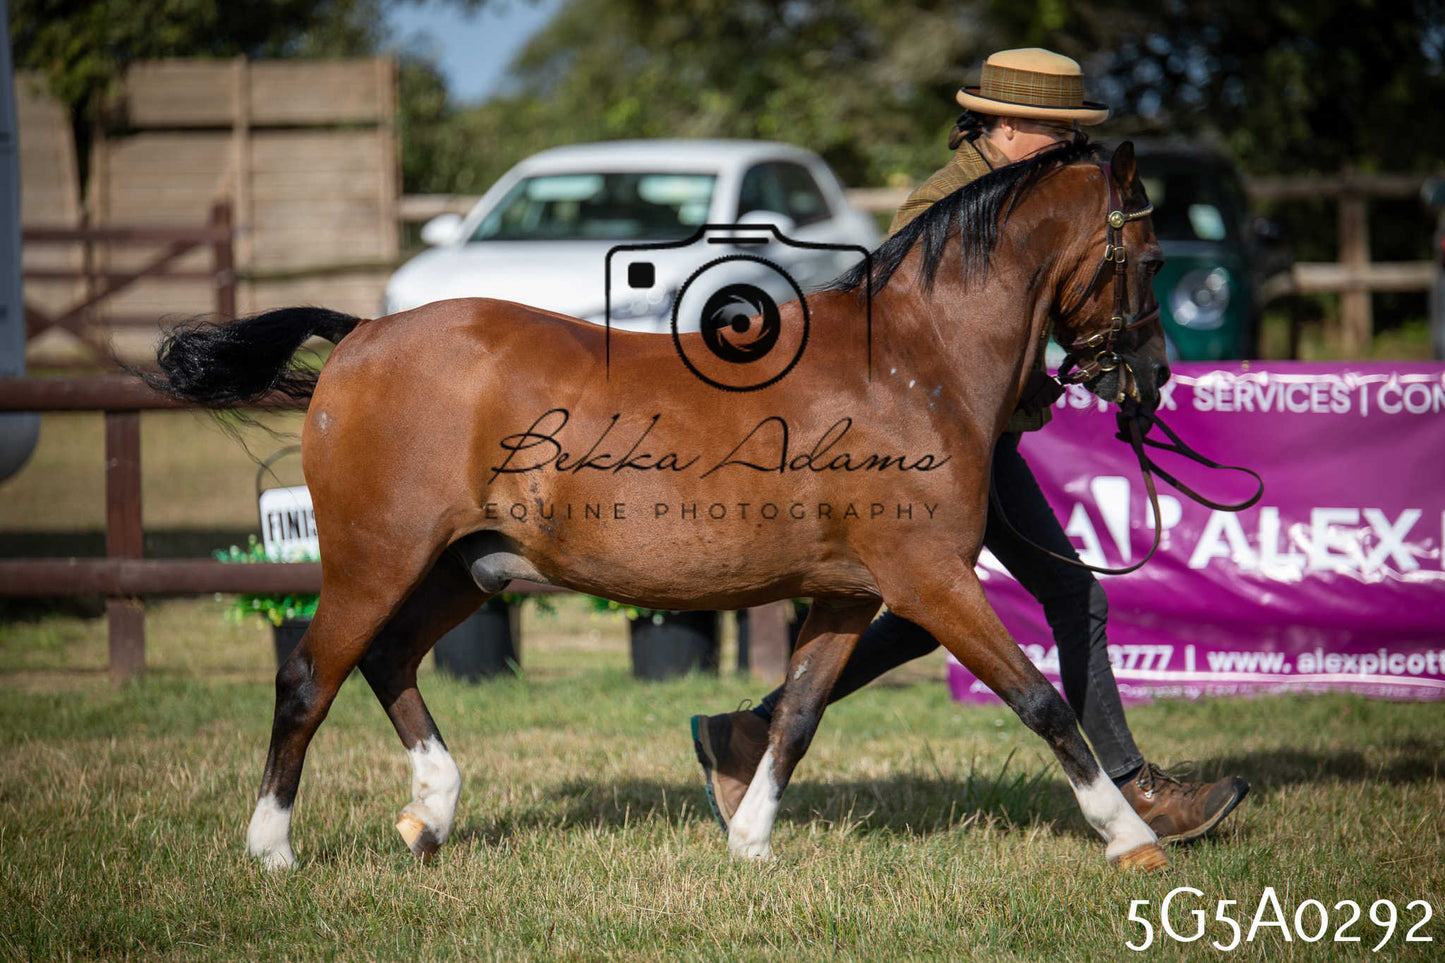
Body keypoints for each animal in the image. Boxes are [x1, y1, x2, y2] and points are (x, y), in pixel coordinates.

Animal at [151, 139, 1171, 872]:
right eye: (1150, 254)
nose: (1153, 378)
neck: (914, 365)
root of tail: (362, 334)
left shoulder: (848, 592)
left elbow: (800, 714)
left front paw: (749, 841)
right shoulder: (930, 581)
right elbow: (1040, 699)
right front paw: (1130, 837)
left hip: (467, 566)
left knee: (388, 659)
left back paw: (431, 813)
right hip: (377, 557)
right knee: (307, 678)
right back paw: (274, 849)